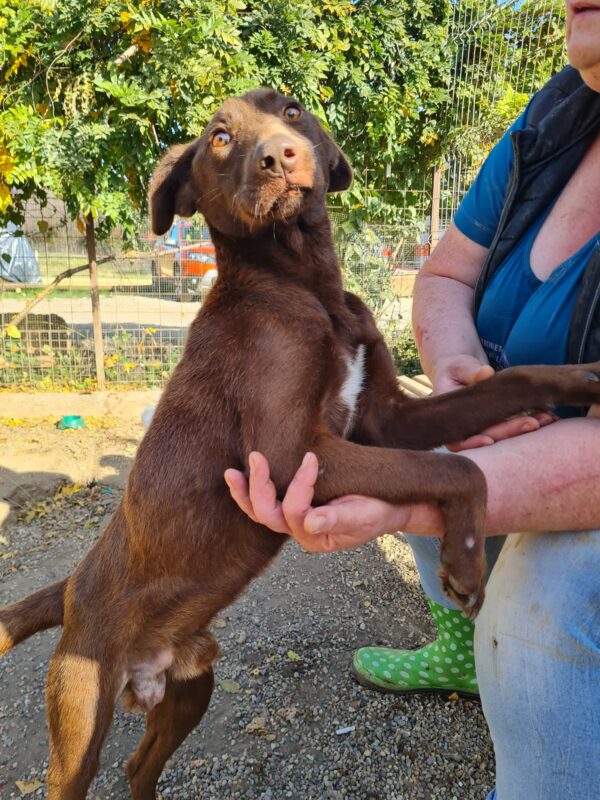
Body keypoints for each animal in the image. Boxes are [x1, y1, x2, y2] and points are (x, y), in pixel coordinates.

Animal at [1, 87, 600, 800]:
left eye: (289, 110)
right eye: (220, 138)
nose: (279, 156)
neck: (304, 286)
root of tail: (70, 589)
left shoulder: (388, 419)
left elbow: (509, 385)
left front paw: (581, 380)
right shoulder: (294, 456)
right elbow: (459, 472)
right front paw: (465, 558)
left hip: (191, 684)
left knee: (138, 767)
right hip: (80, 709)